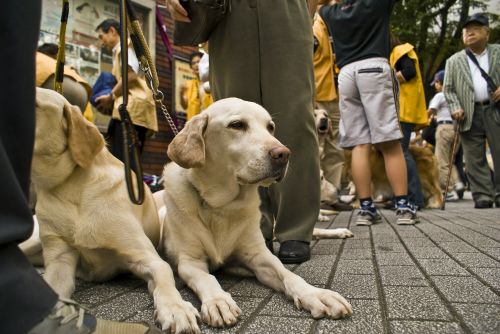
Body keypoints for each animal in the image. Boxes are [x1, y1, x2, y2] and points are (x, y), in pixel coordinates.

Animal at [22, 89, 199, 334]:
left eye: (35, 103)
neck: (70, 188)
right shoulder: (59, 260)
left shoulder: (147, 258)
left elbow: (165, 281)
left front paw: (176, 308)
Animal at [159, 98, 352, 328]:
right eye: (237, 125)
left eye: (270, 127)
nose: (283, 154)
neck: (222, 206)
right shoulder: (190, 262)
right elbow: (207, 279)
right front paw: (218, 301)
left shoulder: (258, 255)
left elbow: (289, 274)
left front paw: (316, 294)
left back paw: (340, 230)